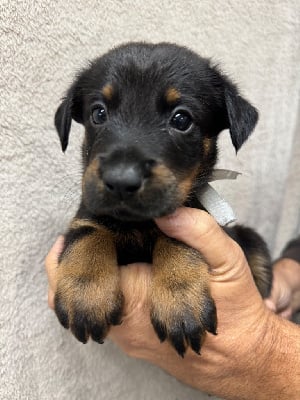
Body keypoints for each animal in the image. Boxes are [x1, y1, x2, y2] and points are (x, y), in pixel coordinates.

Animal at [54, 43, 272, 356]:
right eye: (98, 113)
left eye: (181, 119)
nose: (121, 180)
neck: (139, 224)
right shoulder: (89, 210)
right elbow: (88, 234)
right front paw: (85, 290)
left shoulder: (196, 216)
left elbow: (176, 240)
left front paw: (179, 297)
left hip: (253, 241)